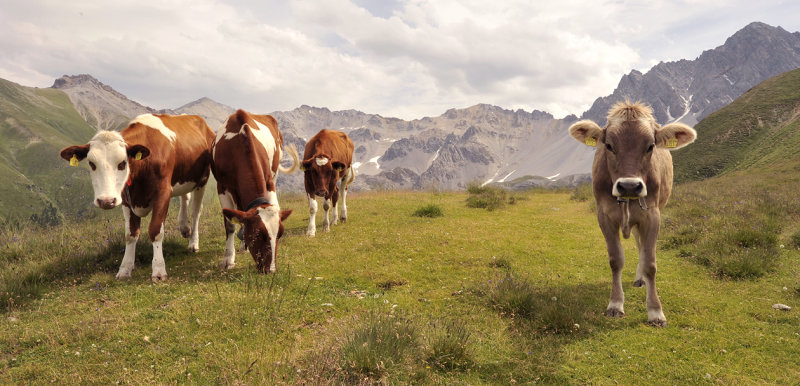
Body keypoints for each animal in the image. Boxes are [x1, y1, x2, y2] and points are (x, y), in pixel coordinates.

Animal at [60, 114, 216, 280]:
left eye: (122, 163)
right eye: (91, 163)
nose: (106, 201)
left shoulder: (163, 192)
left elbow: (155, 231)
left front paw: (158, 270)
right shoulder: (126, 199)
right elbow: (130, 234)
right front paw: (125, 269)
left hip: (202, 179)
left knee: (196, 212)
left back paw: (193, 242)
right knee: (184, 197)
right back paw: (184, 227)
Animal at [212, 108, 300, 272]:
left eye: (280, 234)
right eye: (257, 235)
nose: (271, 270)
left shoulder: (269, 182)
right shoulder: (221, 187)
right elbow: (230, 225)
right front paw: (228, 259)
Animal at [568, 101, 692, 328]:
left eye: (650, 146)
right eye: (609, 145)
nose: (629, 186)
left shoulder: (652, 215)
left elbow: (650, 263)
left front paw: (655, 312)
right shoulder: (604, 215)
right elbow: (615, 259)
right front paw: (615, 304)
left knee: (643, 248)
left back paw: (641, 278)